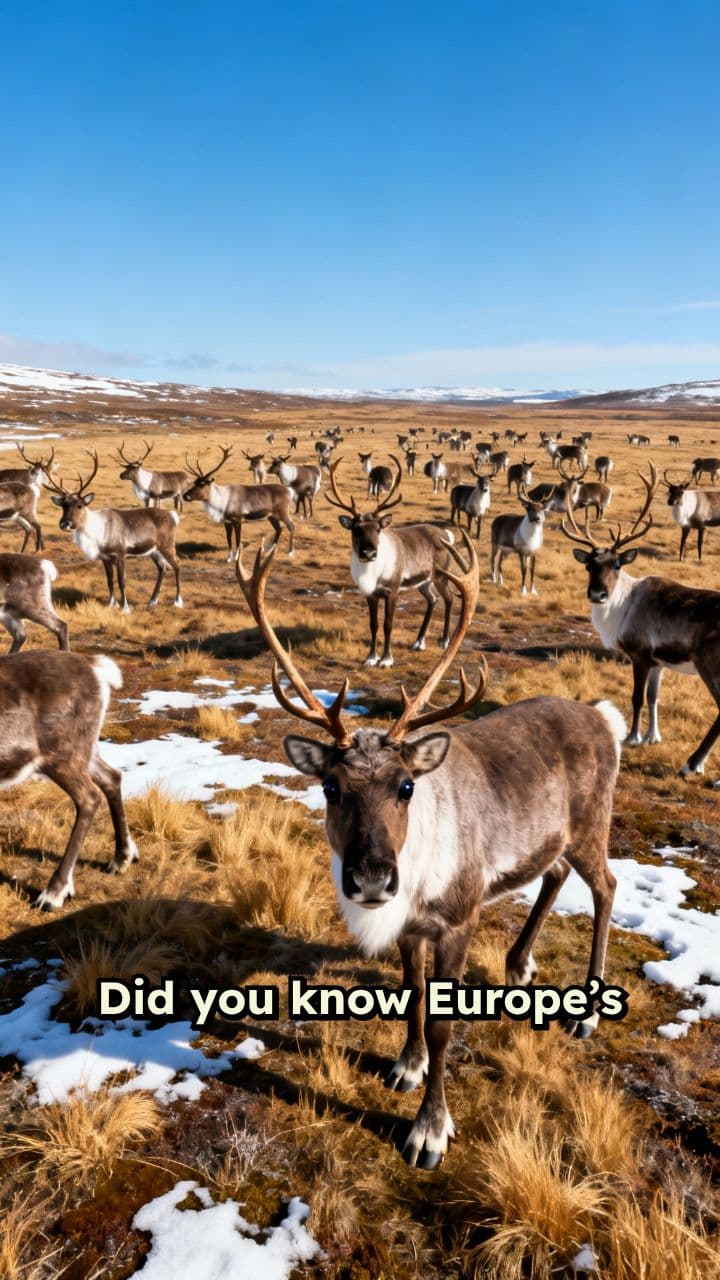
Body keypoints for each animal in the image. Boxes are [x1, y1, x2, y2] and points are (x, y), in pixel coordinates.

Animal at [0, 650, 138, 909]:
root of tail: (95, 667)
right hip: (85, 750)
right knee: (112, 777)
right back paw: (122, 858)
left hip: (61, 756)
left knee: (89, 798)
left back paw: (54, 893)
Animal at [47, 450, 183, 610]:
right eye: (63, 505)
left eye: (80, 505)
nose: (65, 523)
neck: (98, 531)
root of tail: (173, 516)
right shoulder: (105, 558)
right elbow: (110, 581)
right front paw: (112, 604)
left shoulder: (120, 554)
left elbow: (121, 581)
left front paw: (125, 608)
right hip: (154, 550)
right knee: (163, 568)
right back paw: (152, 601)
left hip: (167, 545)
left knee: (177, 565)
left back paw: (177, 601)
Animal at [236, 538, 624, 1169]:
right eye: (330, 788)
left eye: (405, 786)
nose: (372, 879)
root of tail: (604, 717)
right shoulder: (410, 927)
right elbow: (414, 996)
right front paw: (407, 1065)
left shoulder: (456, 921)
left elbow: (443, 1022)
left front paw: (429, 1130)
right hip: (557, 837)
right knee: (555, 872)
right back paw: (519, 964)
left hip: (593, 827)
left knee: (606, 887)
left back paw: (587, 1012)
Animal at [328, 457, 463, 666]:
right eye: (356, 529)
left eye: (378, 529)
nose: (369, 553)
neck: (371, 574)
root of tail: (447, 535)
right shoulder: (370, 594)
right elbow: (373, 624)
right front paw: (371, 657)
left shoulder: (392, 592)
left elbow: (387, 625)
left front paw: (386, 659)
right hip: (423, 582)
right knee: (432, 600)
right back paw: (419, 642)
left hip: (441, 577)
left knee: (448, 599)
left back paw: (444, 641)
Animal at [562, 462, 720, 777]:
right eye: (589, 565)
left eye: (617, 564)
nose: (597, 594)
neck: (622, 605)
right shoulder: (659, 662)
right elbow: (653, 697)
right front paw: (652, 736)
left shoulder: (640, 656)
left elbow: (636, 697)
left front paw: (633, 737)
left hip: (711, 665)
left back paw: (692, 764)